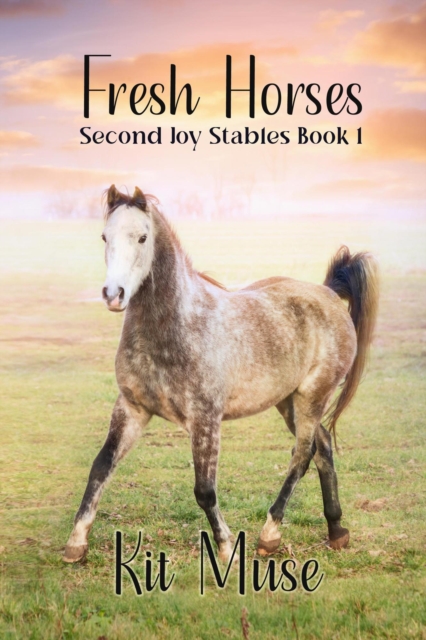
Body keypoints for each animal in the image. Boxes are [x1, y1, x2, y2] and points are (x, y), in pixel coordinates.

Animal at [63, 185, 379, 564]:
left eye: (142, 237)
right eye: (104, 236)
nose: (114, 295)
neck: (176, 327)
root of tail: (329, 292)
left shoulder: (205, 418)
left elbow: (204, 491)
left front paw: (227, 546)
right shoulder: (132, 409)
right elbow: (101, 467)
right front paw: (76, 543)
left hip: (312, 397)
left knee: (302, 456)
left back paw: (269, 535)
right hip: (288, 401)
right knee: (323, 449)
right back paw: (335, 531)